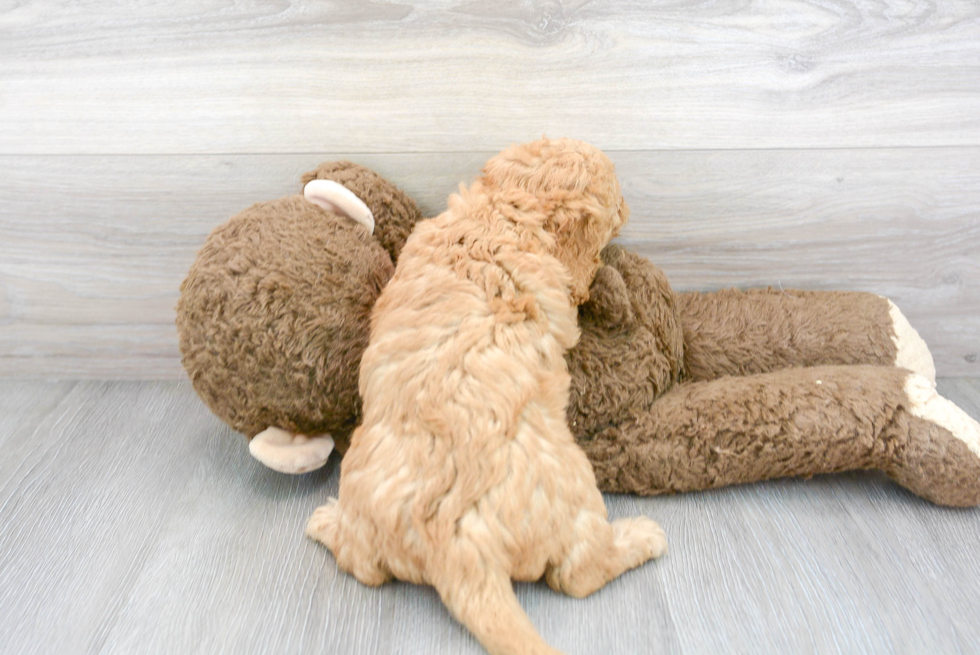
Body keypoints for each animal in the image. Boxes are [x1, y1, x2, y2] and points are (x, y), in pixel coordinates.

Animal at [306, 140, 668, 655]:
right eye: (614, 197)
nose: (628, 208)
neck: (505, 211)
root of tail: (457, 549)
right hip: (576, 491)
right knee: (579, 574)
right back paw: (640, 536)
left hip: (365, 506)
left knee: (364, 567)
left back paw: (325, 522)